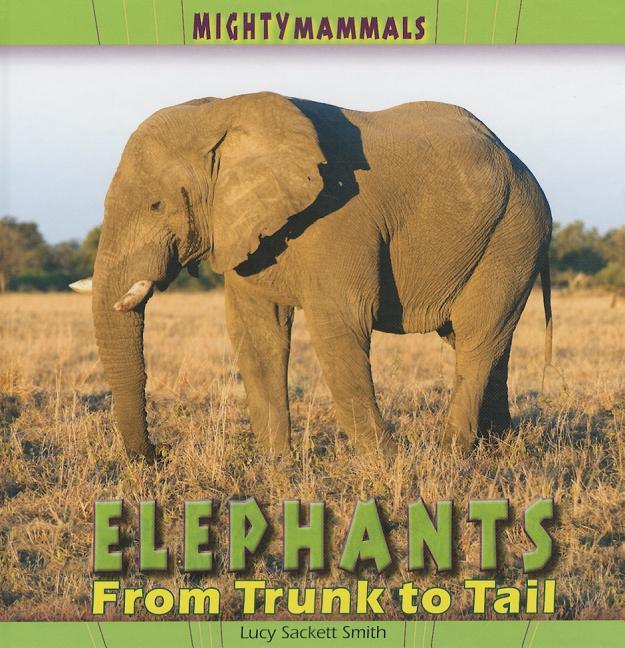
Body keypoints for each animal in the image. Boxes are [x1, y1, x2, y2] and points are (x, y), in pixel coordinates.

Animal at [71, 91, 553, 462]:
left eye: (157, 205)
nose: (159, 455)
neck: (225, 112)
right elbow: (256, 332)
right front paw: (276, 465)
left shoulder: (338, 217)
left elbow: (339, 323)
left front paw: (386, 463)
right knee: (487, 342)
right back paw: (497, 444)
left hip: (514, 233)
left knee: (476, 337)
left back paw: (453, 452)